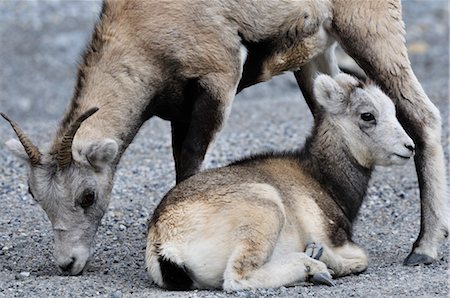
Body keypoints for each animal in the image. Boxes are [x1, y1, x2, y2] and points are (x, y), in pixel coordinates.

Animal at [147, 73, 414, 290]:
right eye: (367, 115)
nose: (409, 147)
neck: (319, 177)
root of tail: (163, 239)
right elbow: (362, 258)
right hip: (267, 211)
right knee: (237, 279)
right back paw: (314, 267)